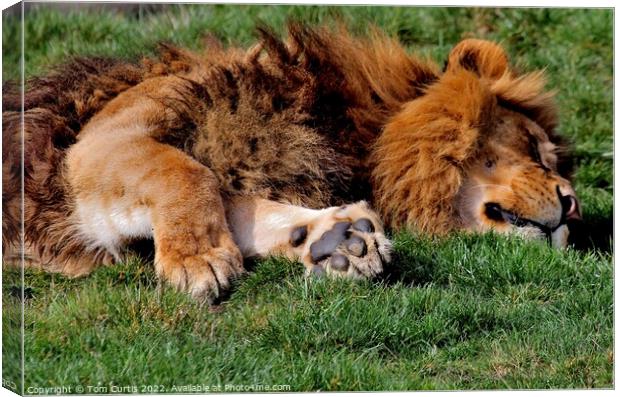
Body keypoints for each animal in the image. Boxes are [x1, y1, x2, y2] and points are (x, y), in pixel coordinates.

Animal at [1, 23, 580, 300]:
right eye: (533, 147)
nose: (572, 206)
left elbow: (243, 206)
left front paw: (336, 241)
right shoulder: (100, 141)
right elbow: (186, 172)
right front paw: (196, 259)